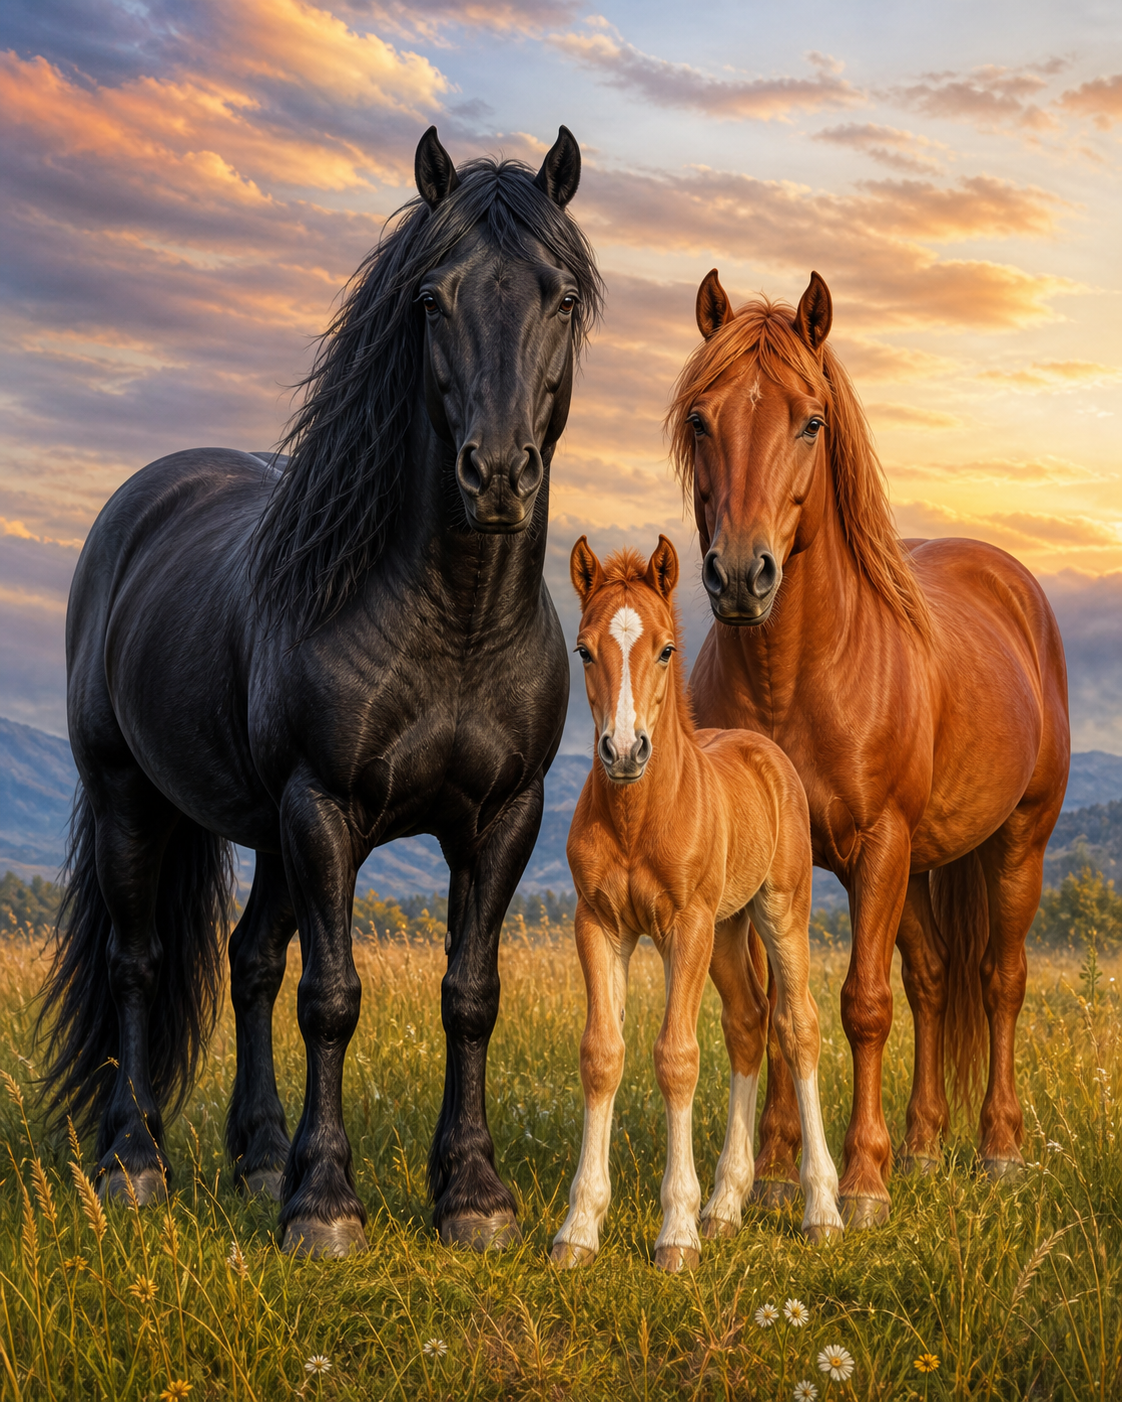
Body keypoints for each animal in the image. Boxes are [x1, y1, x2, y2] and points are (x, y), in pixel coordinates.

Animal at [38, 125, 604, 1257]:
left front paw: (471, 1195)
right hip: (134, 799)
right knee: (137, 962)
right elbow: (332, 997)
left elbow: (470, 994)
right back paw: (133, 1160)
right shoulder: (324, 807)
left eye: (561, 296)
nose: (499, 475)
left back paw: (257, 1157)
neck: (454, 622)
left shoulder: (501, 818)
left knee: (249, 959)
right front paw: (327, 1205)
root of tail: (143, 498)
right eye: (430, 298)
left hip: (264, 829)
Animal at [551, 535, 844, 1272]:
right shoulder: (598, 925)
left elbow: (676, 1057)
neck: (637, 817)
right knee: (746, 1023)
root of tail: (765, 749)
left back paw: (822, 1211)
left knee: (797, 1027)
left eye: (665, 649)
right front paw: (579, 1228)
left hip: (777, 912)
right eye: (584, 650)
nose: (625, 751)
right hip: (728, 929)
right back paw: (725, 1206)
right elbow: (602, 1054)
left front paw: (675, 1233)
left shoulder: (684, 928)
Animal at [667, 270, 1069, 1229]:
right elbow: (784, 1007)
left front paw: (860, 1182)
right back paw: (923, 1147)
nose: (742, 576)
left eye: (811, 421)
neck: (796, 677)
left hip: (1015, 846)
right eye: (700, 418)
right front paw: (780, 1173)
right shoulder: (780, 862)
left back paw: (998, 1150)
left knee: (999, 980)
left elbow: (863, 1004)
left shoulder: (878, 845)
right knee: (932, 978)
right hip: (921, 865)